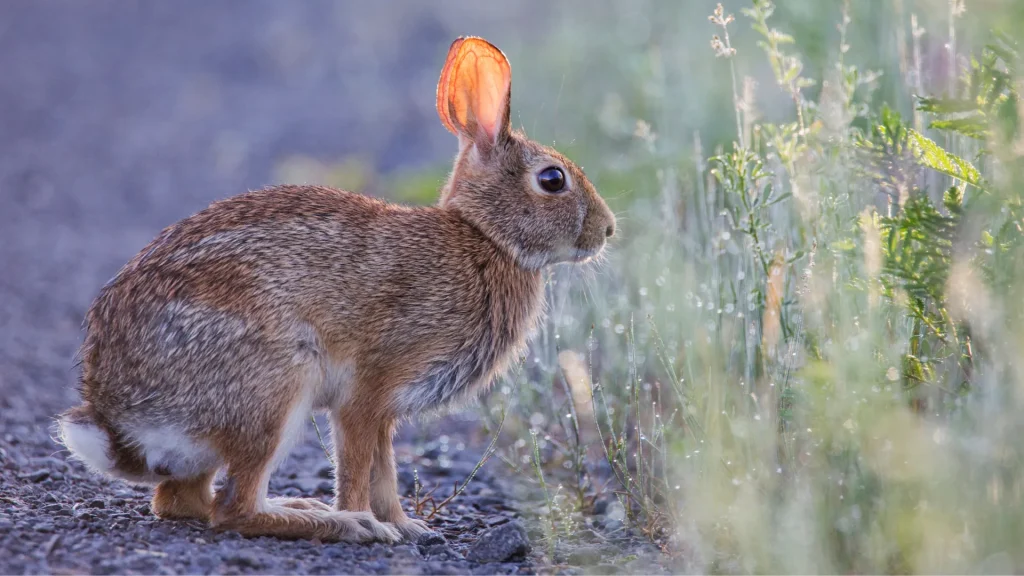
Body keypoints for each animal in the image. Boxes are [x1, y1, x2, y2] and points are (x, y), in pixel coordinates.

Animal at [55, 36, 615, 544]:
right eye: (552, 179)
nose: (607, 230)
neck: (485, 237)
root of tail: (117, 413)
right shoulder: (367, 392)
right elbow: (359, 468)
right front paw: (373, 524)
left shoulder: (384, 412)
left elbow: (384, 472)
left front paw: (407, 527)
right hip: (274, 383)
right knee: (233, 510)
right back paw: (336, 523)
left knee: (183, 501)